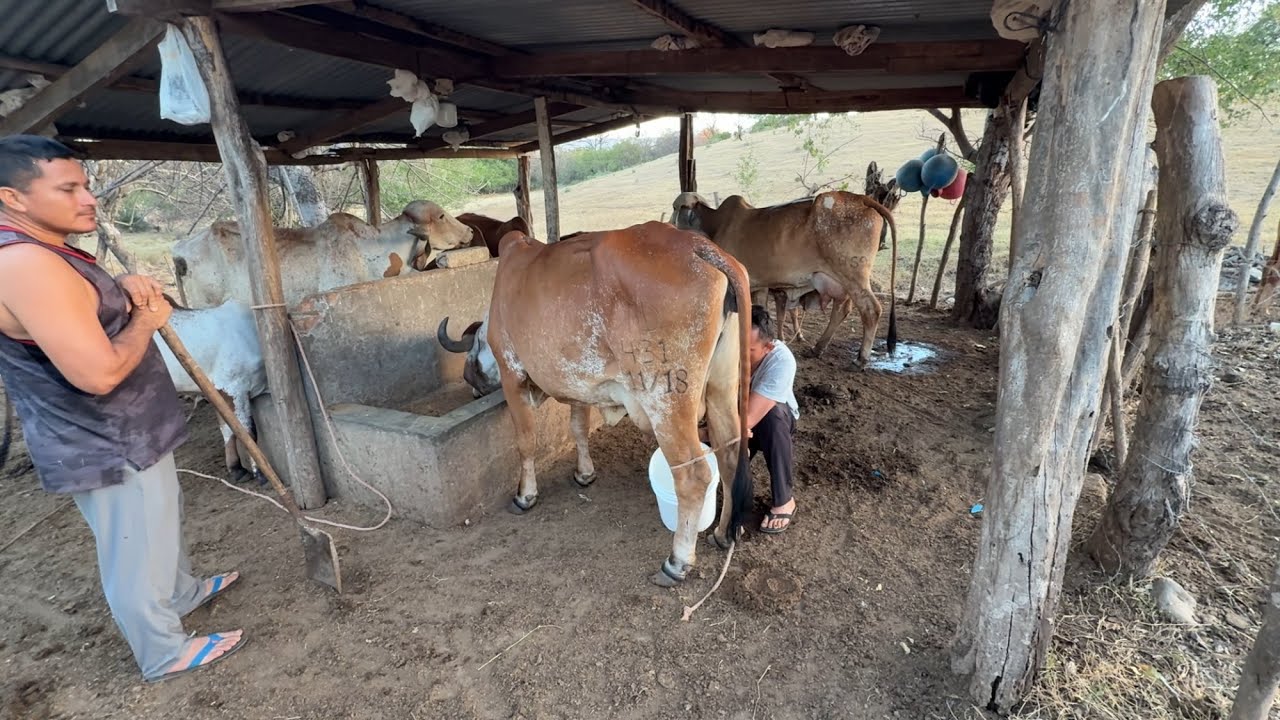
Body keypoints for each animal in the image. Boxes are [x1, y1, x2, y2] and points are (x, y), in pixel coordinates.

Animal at [437, 221, 754, 587]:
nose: (471, 385)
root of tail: (697, 245)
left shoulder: (512, 374)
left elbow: (526, 441)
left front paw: (525, 495)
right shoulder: (580, 386)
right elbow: (579, 428)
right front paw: (584, 473)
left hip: (667, 400)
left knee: (694, 475)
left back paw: (677, 561)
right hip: (721, 388)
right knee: (731, 452)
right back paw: (723, 533)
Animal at [672, 191, 899, 365]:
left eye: (676, 207)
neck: (716, 224)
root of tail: (861, 198)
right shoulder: (760, 286)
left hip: (853, 275)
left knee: (871, 310)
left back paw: (861, 358)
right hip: (842, 281)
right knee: (842, 310)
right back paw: (818, 348)